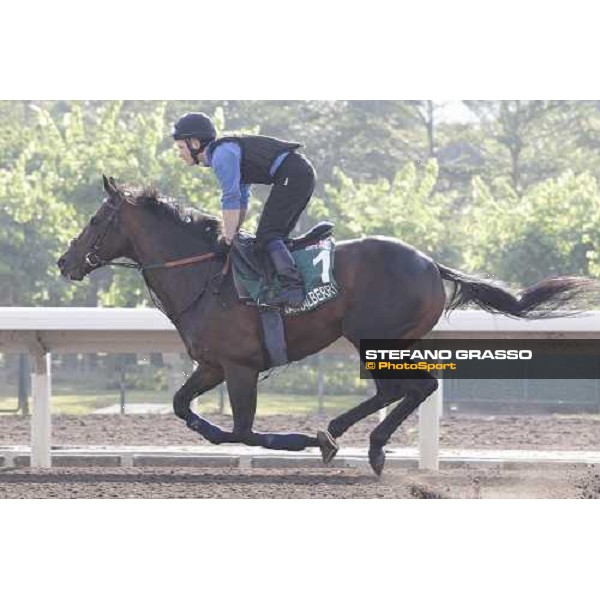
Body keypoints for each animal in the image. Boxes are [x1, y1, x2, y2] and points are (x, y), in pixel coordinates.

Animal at [57, 176, 596, 476]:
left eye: (95, 219)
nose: (65, 261)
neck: (205, 276)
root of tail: (432, 264)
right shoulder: (211, 365)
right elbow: (182, 407)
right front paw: (209, 429)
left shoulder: (240, 367)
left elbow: (243, 432)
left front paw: (304, 440)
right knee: (405, 390)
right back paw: (353, 438)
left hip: (374, 337)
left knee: (410, 388)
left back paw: (349, 439)